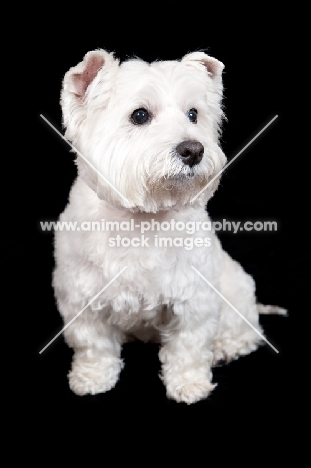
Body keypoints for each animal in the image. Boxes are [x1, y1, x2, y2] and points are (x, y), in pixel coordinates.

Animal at [53, 49, 286, 404]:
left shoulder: (194, 297)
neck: (142, 217)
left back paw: (226, 347)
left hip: (236, 287)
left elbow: (188, 345)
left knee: (246, 329)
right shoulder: (82, 297)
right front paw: (92, 378)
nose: (194, 150)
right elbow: (93, 344)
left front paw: (189, 384)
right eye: (139, 115)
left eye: (193, 114)